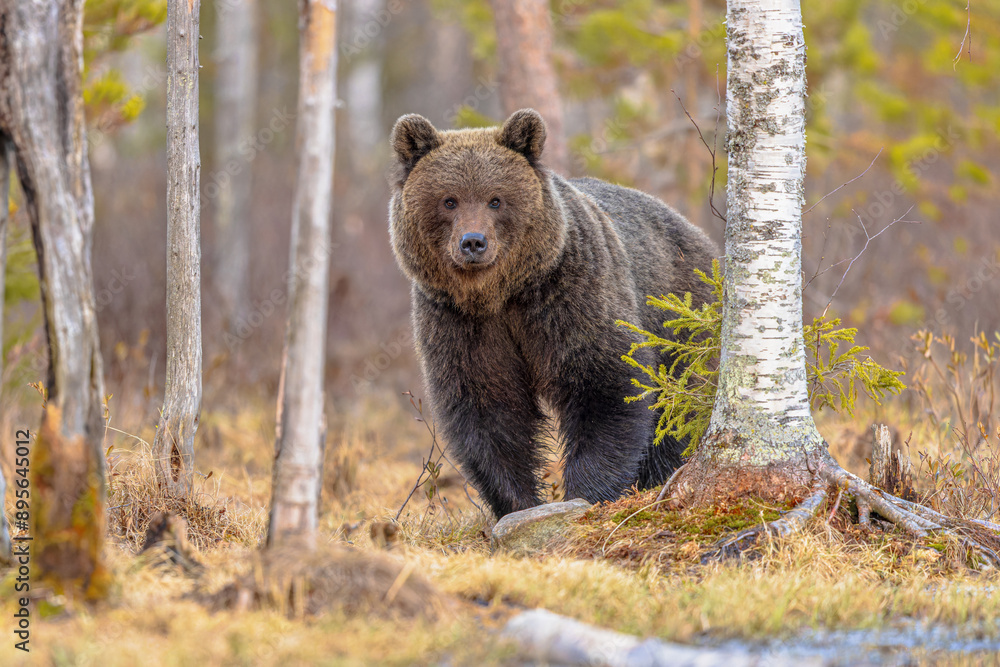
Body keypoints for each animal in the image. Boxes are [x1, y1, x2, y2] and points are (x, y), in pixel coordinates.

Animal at [388, 108, 718, 518]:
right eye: (449, 200)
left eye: (495, 199)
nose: (473, 242)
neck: (501, 294)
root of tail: (698, 235)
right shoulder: (458, 322)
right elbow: (488, 408)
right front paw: (518, 503)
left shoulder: (569, 294)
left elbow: (605, 384)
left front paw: (586, 492)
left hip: (678, 315)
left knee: (679, 404)